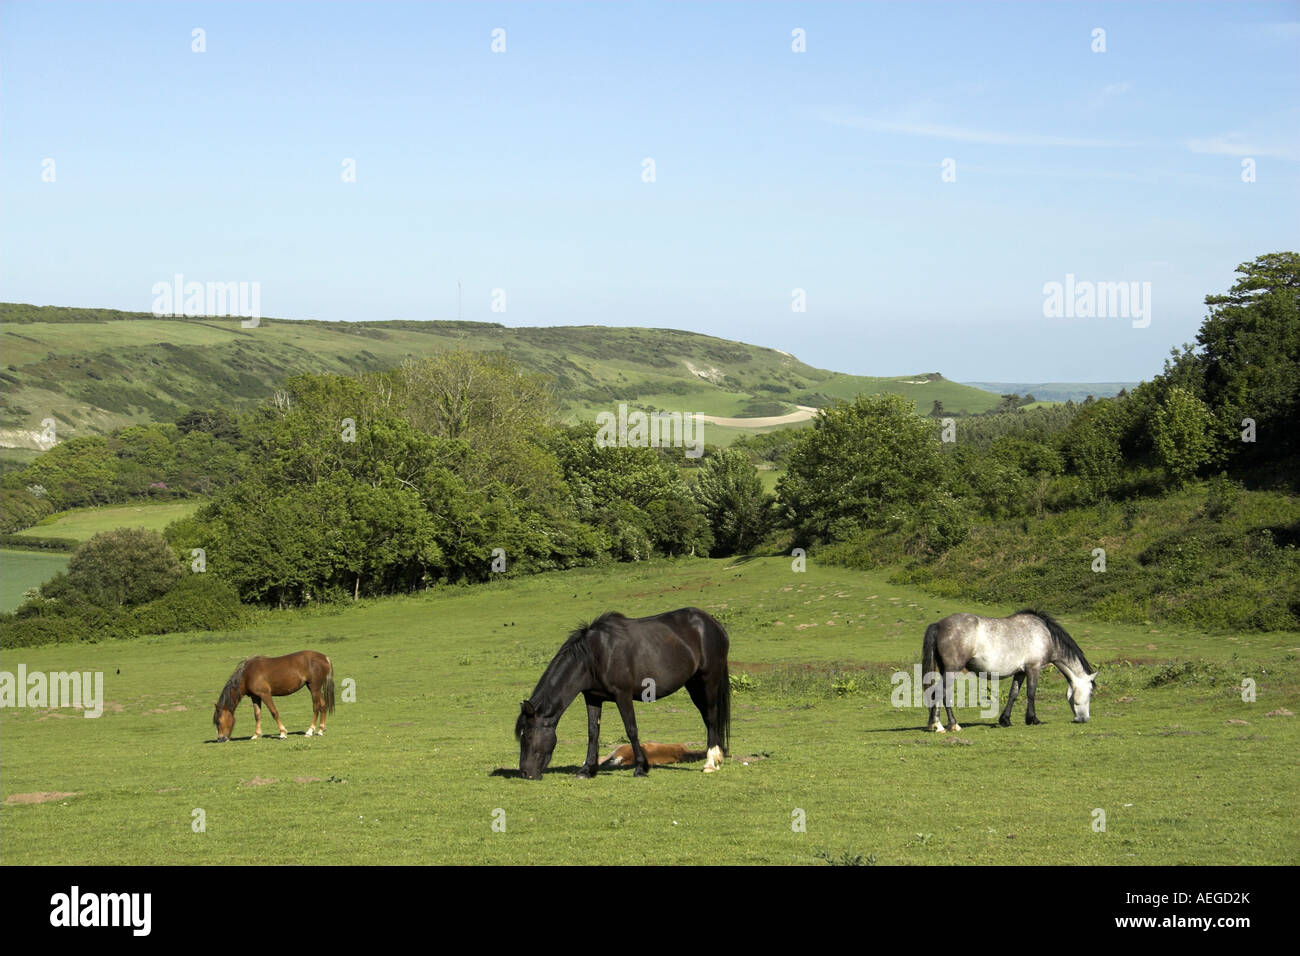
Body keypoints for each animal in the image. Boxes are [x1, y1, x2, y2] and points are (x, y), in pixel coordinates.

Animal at [512, 608, 733, 780]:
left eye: (528, 735)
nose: (525, 773)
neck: (594, 655)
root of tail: (714, 624)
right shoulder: (592, 697)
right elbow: (593, 732)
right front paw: (587, 770)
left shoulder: (623, 695)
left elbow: (631, 729)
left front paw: (641, 768)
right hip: (693, 684)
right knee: (708, 717)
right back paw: (717, 757)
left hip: (708, 680)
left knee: (711, 717)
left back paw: (710, 764)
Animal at [925, 613, 1097, 733]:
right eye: (1090, 693)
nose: (1084, 719)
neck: (1045, 634)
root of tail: (939, 625)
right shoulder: (1033, 668)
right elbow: (1031, 693)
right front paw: (1033, 719)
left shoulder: (1020, 672)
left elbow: (1013, 694)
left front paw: (1005, 720)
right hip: (952, 670)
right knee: (941, 693)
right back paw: (949, 725)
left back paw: (936, 725)